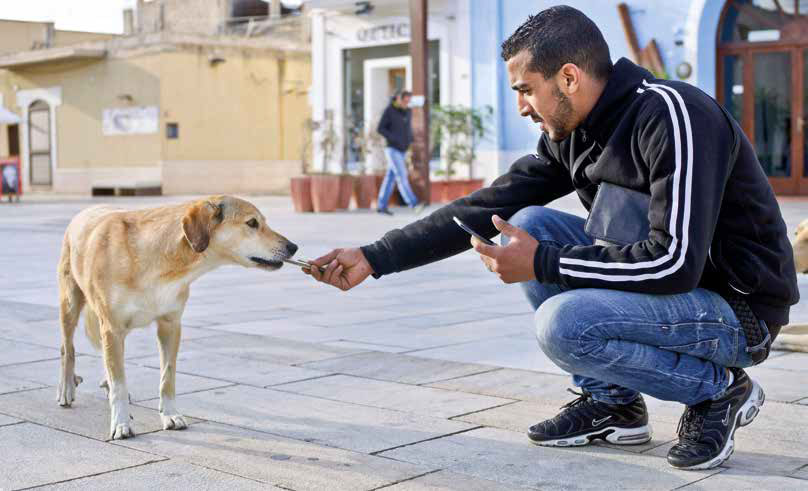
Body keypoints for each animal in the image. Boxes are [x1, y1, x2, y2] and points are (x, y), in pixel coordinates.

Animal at [57, 194, 296, 440]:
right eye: (252, 223)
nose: (293, 247)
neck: (159, 261)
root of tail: (88, 209)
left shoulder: (170, 325)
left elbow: (167, 376)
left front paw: (170, 415)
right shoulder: (112, 328)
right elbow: (119, 384)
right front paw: (121, 423)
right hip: (70, 303)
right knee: (68, 348)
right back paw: (66, 388)